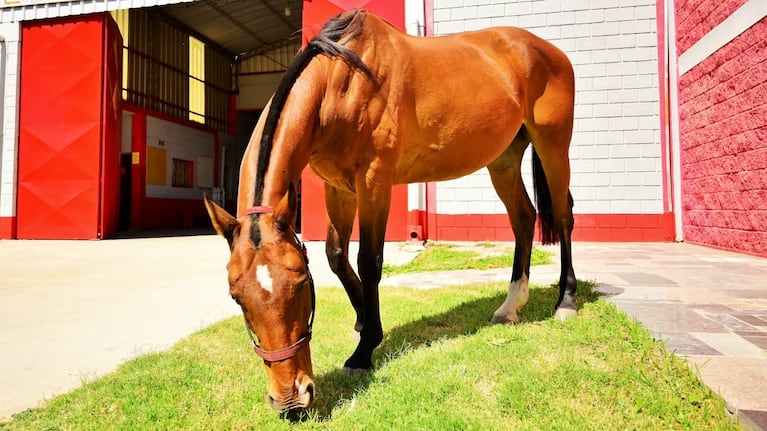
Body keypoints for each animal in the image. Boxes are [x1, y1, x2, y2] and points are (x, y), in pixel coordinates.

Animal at [204, 10, 576, 414]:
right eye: (236, 297)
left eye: (301, 284)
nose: (291, 399)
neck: (340, 83)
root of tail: (548, 50)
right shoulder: (338, 188)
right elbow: (336, 256)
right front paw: (363, 321)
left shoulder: (374, 182)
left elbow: (369, 260)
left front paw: (364, 350)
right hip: (504, 158)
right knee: (523, 217)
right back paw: (510, 306)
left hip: (553, 143)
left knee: (563, 215)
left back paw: (566, 301)